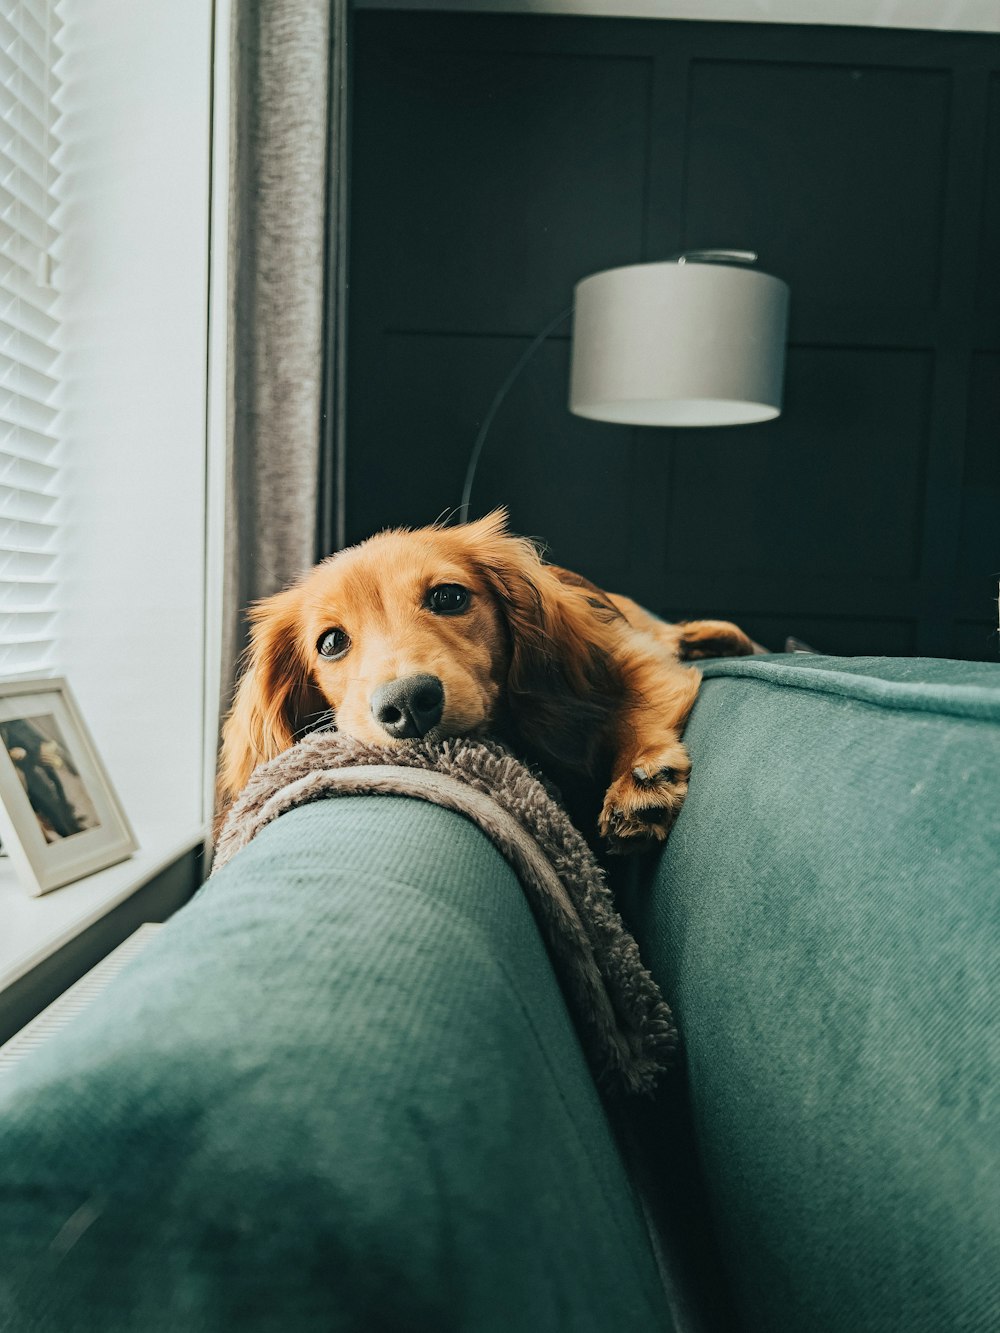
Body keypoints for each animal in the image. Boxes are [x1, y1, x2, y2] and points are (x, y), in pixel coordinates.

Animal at [217, 514, 752, 847]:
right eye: (330, 643)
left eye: (449, 596)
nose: (407, 705)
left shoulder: (633, 654)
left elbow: (634, 706)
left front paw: (638, 778)